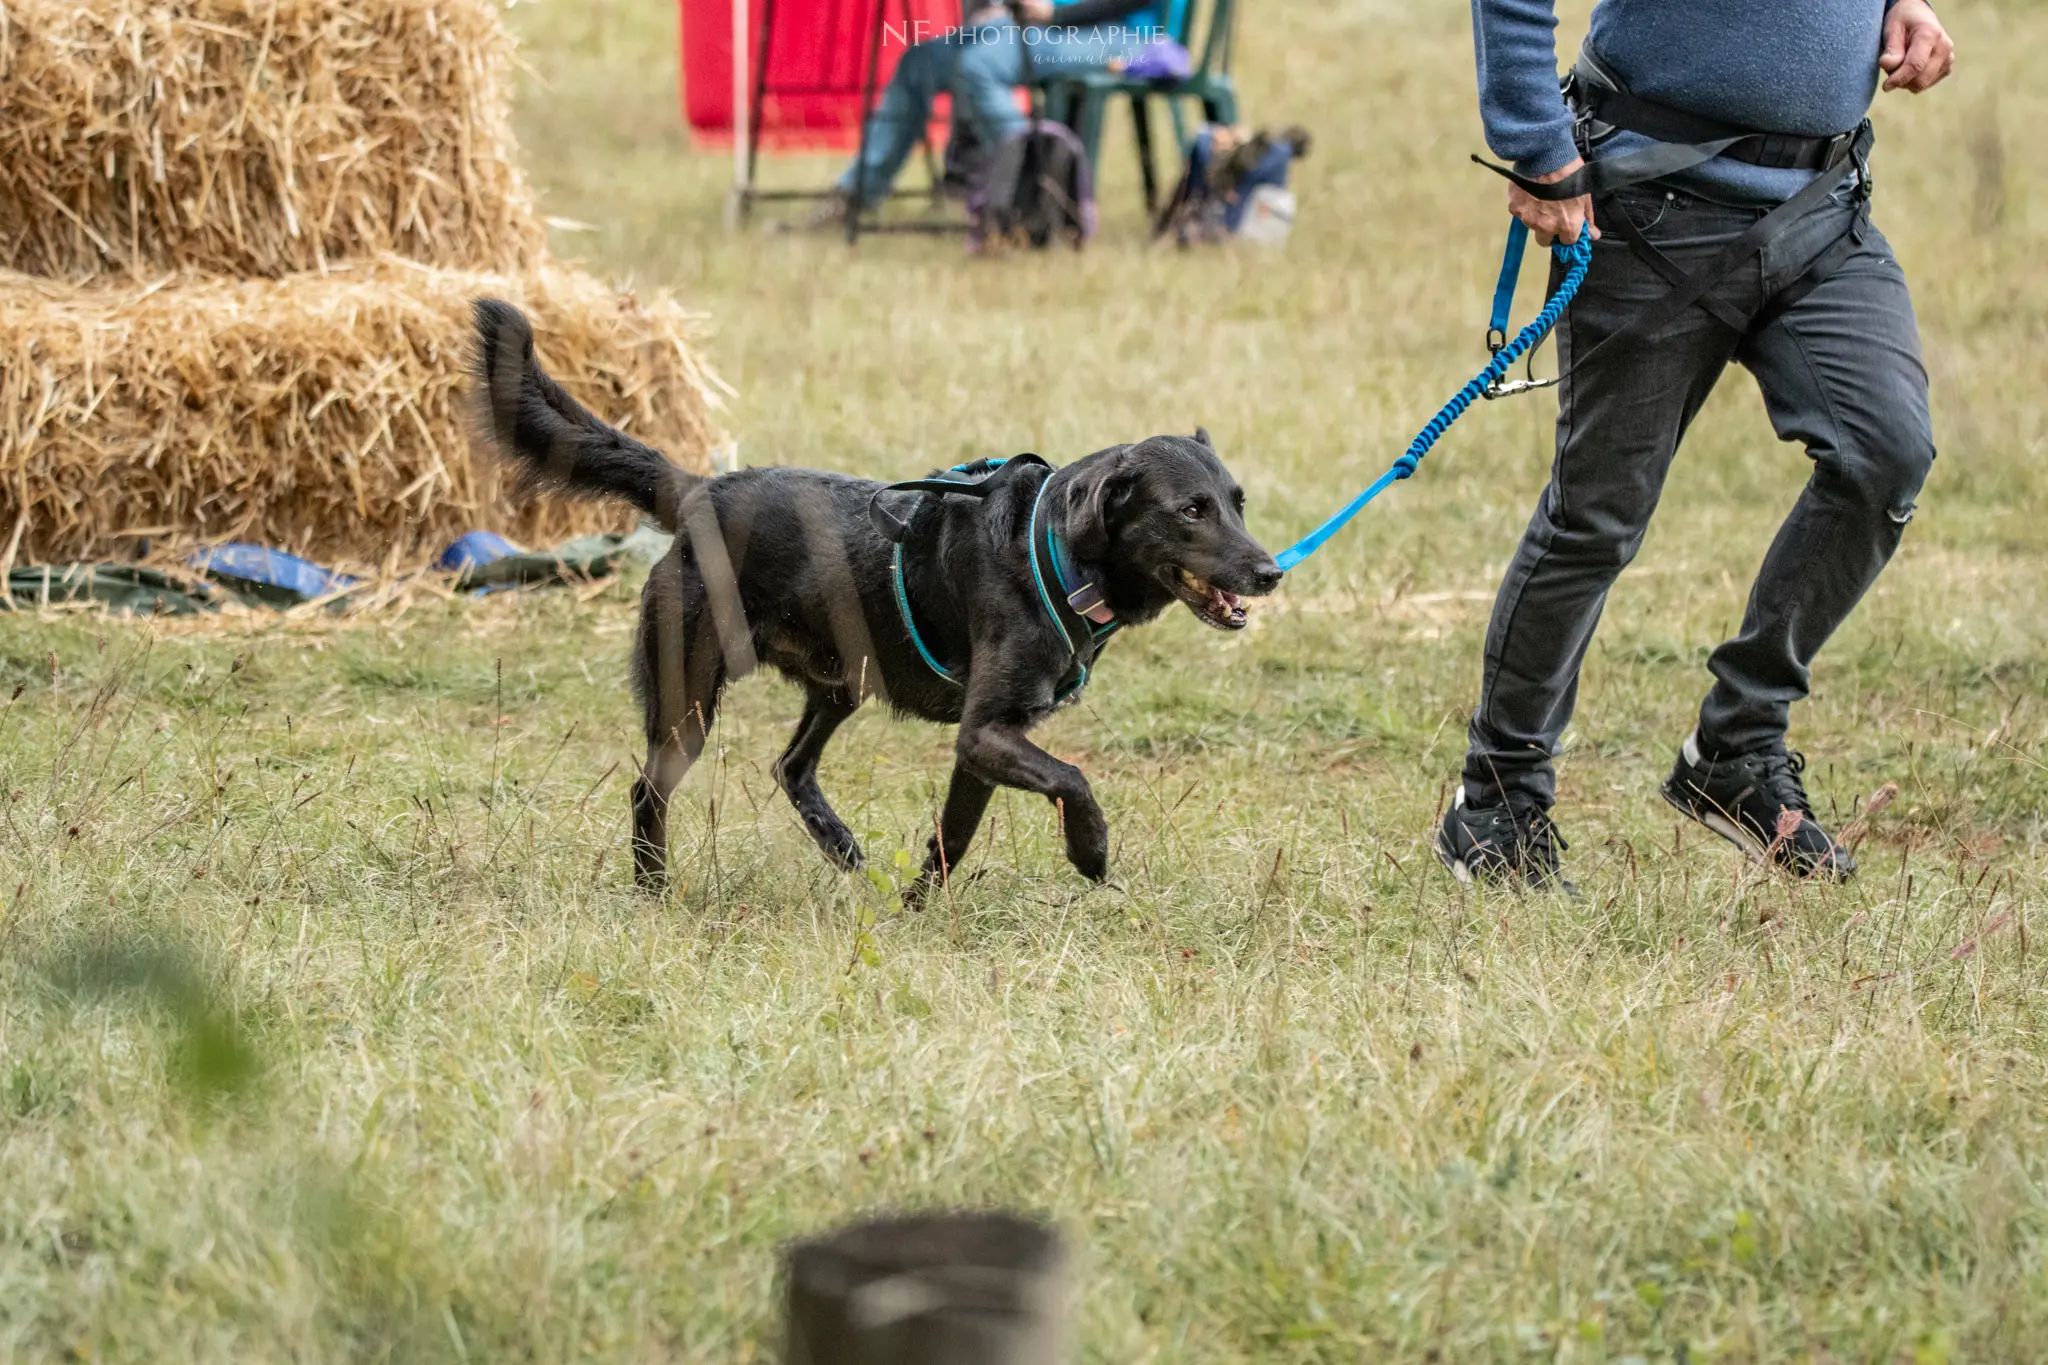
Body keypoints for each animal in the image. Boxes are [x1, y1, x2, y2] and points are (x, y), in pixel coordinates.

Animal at [473, 300, 1286, 896]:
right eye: (1191, 510)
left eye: (1238, 502)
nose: (1271, 572)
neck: (1056, 551)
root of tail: (700, 490)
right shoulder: (989, 732)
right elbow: (1073, 779)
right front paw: (1091, 852)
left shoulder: (986, 741)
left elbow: (955, 834)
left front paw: (919, 906)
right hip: (689, 697)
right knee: (650, 790)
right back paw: (654, 890)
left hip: (843, 682)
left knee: (791, 765)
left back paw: (837, 843)